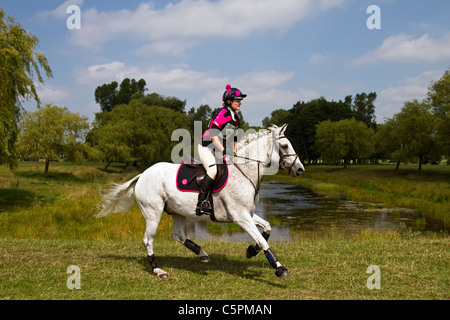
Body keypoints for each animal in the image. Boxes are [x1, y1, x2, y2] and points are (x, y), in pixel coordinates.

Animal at [96, 124, 304, 278]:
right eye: (285, 146)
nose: (300, 169)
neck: (245, 171)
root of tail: (142, 175)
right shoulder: (241, 217)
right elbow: (262, 240)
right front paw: (279, 268)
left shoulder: (247, 214)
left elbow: (267, 228)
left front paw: (251, 251)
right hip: (153, 212)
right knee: (148, 240)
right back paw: (157, 269)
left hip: (177, 212)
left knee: (178, 235)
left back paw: (202, 254)